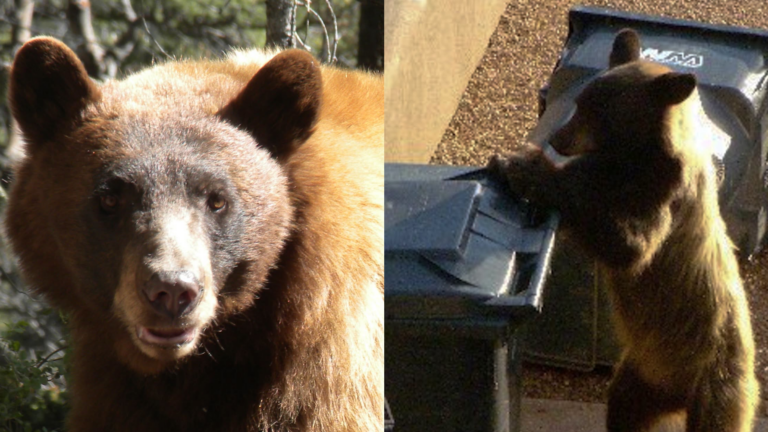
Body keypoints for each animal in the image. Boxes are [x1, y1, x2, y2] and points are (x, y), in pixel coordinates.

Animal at [489, 29, 758, 431]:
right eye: (580, 102)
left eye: (599, 113)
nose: (557, 139)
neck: (634, 157)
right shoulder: (607, 170)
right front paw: (508, 160)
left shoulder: (663, 194)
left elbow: (632, 246)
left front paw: (527, 168)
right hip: (641, 377)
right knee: (624, 407)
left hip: (716, 384)